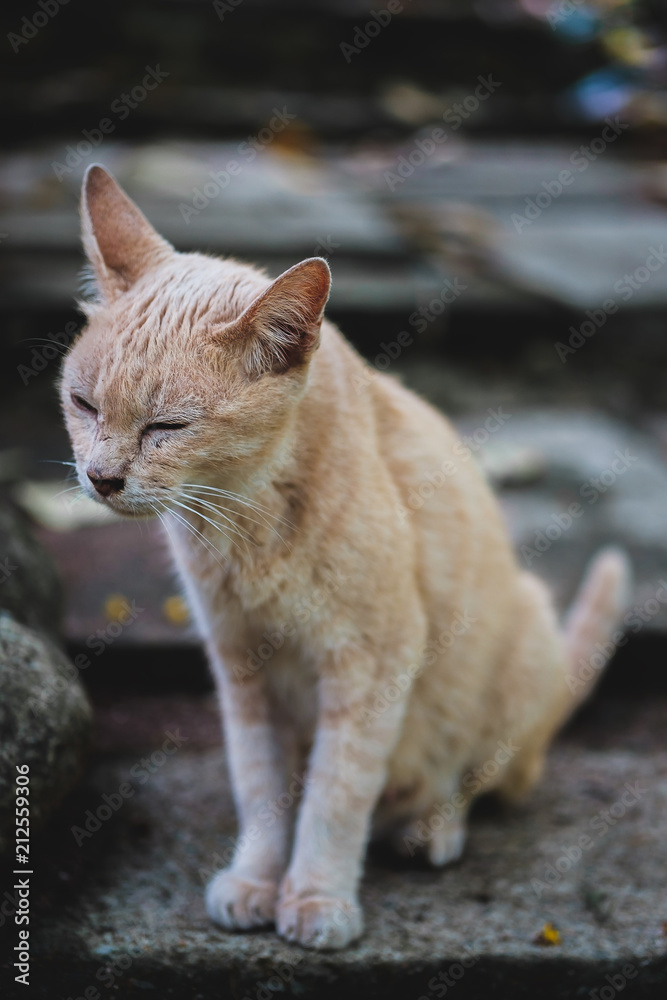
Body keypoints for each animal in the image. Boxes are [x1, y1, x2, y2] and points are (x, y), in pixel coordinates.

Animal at [61, 166, 632, 952]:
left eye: (166, 427)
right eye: (84, 405)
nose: (101, 477)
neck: (246, 523)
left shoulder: (372, 660)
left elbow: (335, 797)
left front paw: (316, 898)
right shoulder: (242, 667)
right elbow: (261, 788)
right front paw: (257, 881)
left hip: (520, 652)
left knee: (469, 778)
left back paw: (429, 829)